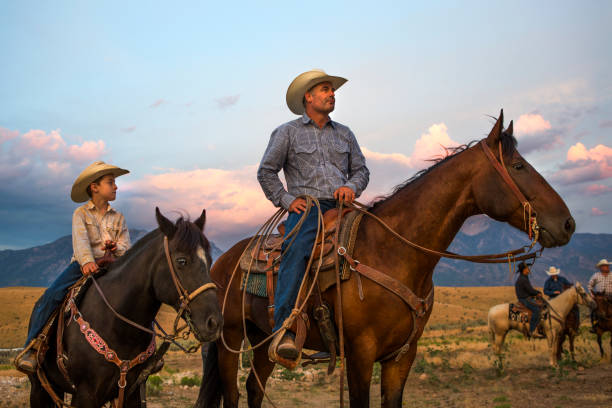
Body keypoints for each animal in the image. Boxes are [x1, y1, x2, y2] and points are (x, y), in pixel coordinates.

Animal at [28, 209, 224, 406]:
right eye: (182, 261)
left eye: (210, 260)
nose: (214, 322)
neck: (119, 326)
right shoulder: (85, 395)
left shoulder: (133, 392)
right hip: (39, 388)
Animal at [195, 110, 572, 406]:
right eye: (519, 165)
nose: (567, 223)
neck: (394, 252)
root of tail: (224, 260)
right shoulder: (360, 354)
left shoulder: (402, 355)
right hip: (230, 337)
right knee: (233, 393)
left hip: (262, 340)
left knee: (254, 389)